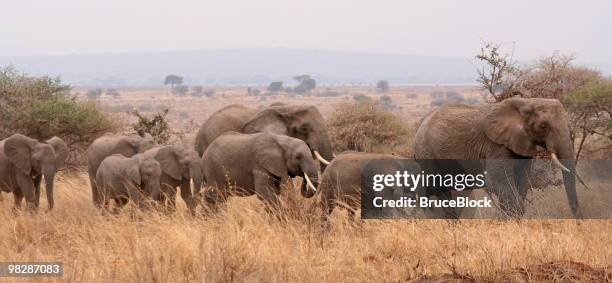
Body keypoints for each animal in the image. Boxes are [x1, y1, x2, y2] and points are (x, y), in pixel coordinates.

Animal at [414, 97, 584, 220]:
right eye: (543, 126)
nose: (580, 220)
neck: (526, 102)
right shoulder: (495, 145)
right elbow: (497, 181)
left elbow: (522, 181)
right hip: (427, 153)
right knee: (440, 190)